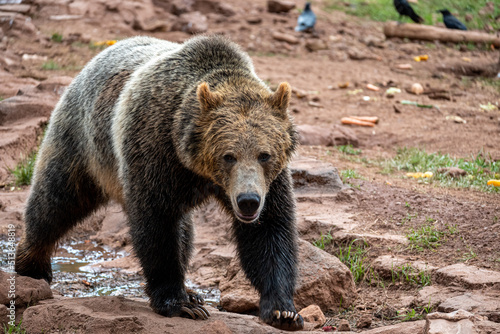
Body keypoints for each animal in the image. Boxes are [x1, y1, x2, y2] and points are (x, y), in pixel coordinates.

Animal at [15, 35, 302, 330]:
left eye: (264, 154)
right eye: (228, 156)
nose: (247, 201)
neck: (194, 163)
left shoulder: (270, 182)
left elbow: (269, 230)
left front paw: (282, 310)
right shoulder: (154, 148)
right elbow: (157, 224)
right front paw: (179, 304)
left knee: (184, 230)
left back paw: (192, 291)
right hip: (83, 143)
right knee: (56, 200)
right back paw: (31, 264)